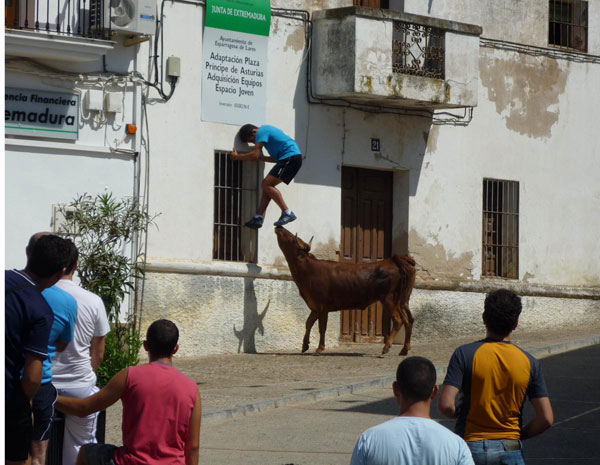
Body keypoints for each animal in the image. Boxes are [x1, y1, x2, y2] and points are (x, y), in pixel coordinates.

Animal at [274, 227, 414, 354]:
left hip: (388, 299)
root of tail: (392, 260)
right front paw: (304, 345)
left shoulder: (322, 307)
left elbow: (321, 327)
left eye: (292, 238)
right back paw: (404, 349)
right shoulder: (315, 306)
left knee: (398, 320)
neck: (308, 269)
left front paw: (319, 348)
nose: (279, 227)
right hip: (400, 300)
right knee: (408, 320)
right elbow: (308, 323)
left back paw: (387, 347)